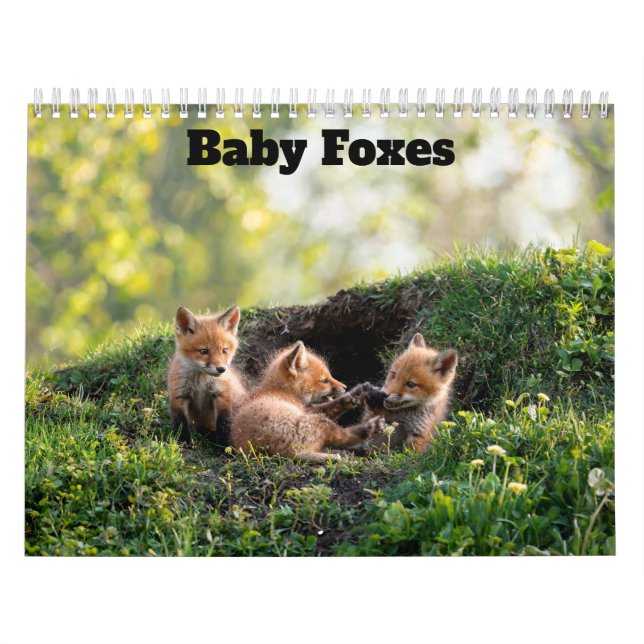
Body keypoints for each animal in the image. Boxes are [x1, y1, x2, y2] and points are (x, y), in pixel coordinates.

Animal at [167, 305, 246, 448]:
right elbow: (181, 423)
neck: (201, 382)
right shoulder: (179, 395)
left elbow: (223, 425)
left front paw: (224, 448)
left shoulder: (222, 395)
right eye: (203, 351)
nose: (221, 369)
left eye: (224, 350)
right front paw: (184, 443)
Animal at [231, 341, 384, 462]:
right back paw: (370, 428)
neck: (283, 392)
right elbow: (328, 406)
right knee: (343, 436)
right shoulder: (307, 410)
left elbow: (334, 404)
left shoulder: (308, 409)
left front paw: (356, 394)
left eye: (329, 376)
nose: (345, 387)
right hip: (317, 422)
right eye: (325, 381)